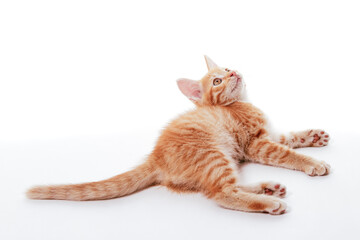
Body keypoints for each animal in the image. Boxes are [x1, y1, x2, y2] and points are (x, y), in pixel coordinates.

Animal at [28, 56, 330, 216]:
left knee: (219, 187)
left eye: (226, 68)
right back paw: (269, 201)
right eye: (217, 81)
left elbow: (290, 138)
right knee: (221, 193)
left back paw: (266, 188)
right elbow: (287, 154)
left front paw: (313, 136)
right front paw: (313, 163)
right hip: (214, 155)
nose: (233, 71)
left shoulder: (268, 135)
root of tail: (155, 157)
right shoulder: (256, 144)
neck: (239, 103)